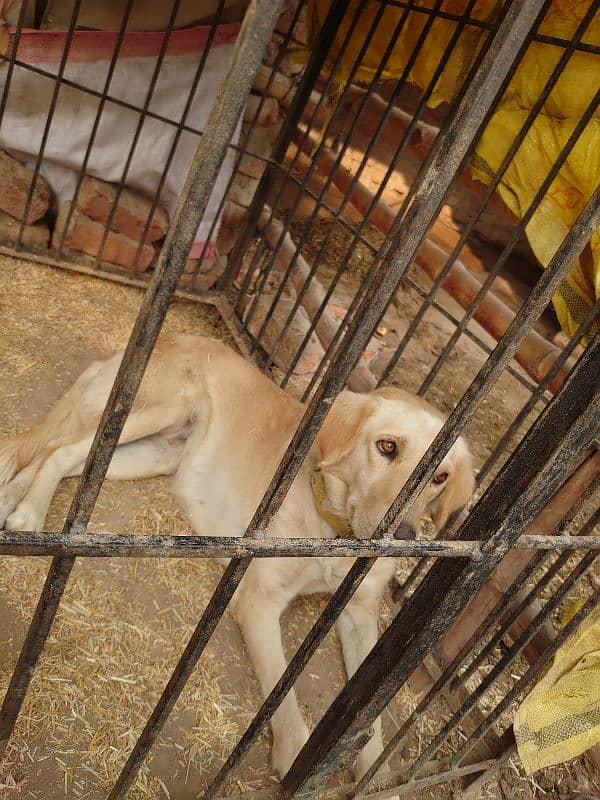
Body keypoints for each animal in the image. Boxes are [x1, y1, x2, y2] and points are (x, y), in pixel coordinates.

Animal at [0, 334, 474, 784]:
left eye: (440, 476)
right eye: (387, 446)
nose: (407, 537)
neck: (335, 534)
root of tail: (173, 336)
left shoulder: (360, 615)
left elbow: (366, 715)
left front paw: (371, 771)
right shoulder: (259, 604)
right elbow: (281, 697)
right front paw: (294, 752)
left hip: (154, 453)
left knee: (68, 462)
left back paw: (13, 499)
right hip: (153, 411)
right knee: (60, 449)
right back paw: (29, 512)